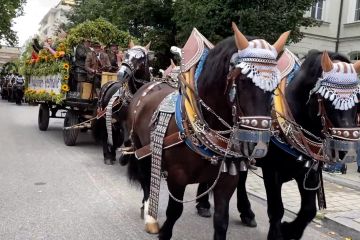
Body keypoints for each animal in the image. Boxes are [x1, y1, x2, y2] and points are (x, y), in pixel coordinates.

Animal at [126, 23, 290, 240]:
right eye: (243, 81)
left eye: (274, 87)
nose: (259, 146)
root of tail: (149, 86)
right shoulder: (177, 177)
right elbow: (174, 212)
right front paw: (162, 230)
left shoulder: (227, 182)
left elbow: (221, 221)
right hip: (141, 148)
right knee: (146, 179)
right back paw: (150, 216)